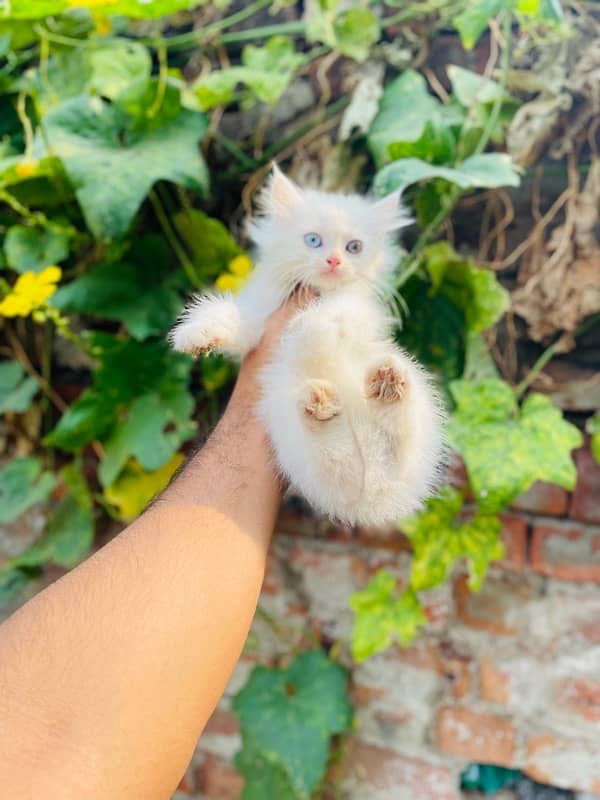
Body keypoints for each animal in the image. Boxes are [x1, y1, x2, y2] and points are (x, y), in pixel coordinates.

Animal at [170, 166, 446, 528]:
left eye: (354, 247)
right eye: (313, 240)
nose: (333, 261)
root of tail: (371, 498)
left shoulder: (362, 311)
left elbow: (333, 314)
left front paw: (307, 326)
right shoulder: (258, 318)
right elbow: (234, 319)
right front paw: (196, 333)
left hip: (415, 417)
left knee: (399, 442)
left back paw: (387, 386)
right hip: (295, 443)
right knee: (335, 455)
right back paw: (324, 404)